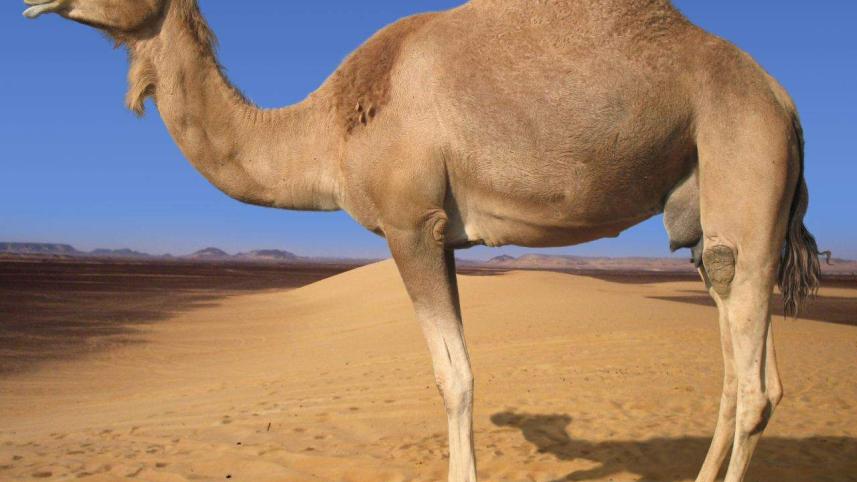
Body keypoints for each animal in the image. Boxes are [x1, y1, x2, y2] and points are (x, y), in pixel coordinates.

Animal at [23, 1, 821, 481]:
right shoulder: (444, 237)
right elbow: (457, 371)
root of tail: (784, 101)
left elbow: (453, 377)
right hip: (710, 210)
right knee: (736, 349)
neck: (325, 129)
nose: (31, 3)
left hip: (743, 154)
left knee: (755, 383)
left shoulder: (411, 224)